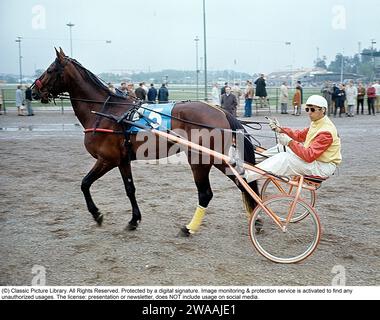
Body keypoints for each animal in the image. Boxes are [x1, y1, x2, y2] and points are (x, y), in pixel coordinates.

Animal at [33, 48, 258, 236]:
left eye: (50, 70)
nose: (32, 91)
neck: (106, 112)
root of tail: (221, 112)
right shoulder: (122, 160)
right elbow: (128, 189)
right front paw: (133, 220)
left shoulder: (107, 159)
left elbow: (85, 183)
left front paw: (98, 214)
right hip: (217, 158)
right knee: (242, 182)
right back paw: (255, 218)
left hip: (200, 158)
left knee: (206, 194)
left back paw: (189, 227)